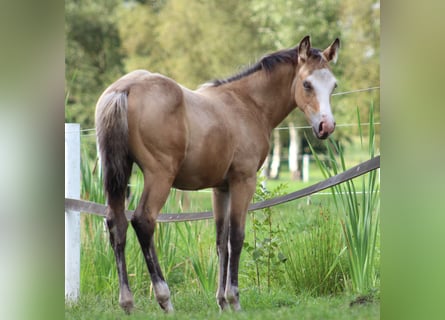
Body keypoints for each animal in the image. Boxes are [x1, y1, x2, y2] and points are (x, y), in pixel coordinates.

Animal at [95, 35, 340, 312]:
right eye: (307, 84)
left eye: (333, 86)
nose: (326, 127)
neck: (248, 104)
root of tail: (125, 89)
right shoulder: (243, 180)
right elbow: (236, 236)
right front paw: (235, 300)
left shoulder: (221, 187)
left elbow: (221, 239)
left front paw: (222, 302)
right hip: (159, 176)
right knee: (142, 221)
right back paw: (164, 299)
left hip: (119, 172)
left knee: (117, 223)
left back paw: (127, 303)